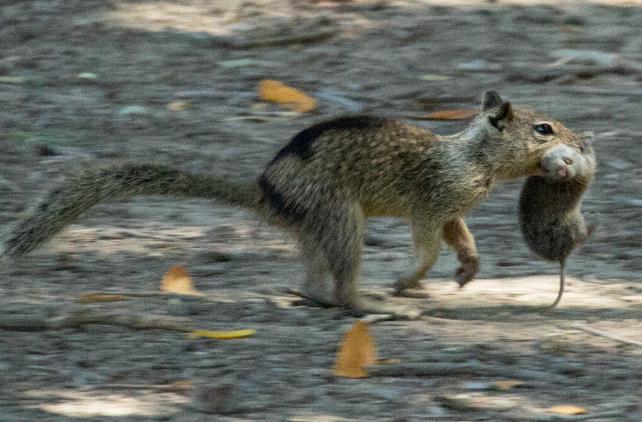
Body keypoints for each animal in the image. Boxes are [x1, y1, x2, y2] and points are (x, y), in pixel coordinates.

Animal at [2, 90, 584, 318]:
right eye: (543, 128)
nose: (580, 143)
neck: (473, 156)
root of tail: (264, 190)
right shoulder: (432, 201)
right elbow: (427, 246)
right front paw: (409, 279)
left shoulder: (452, 209)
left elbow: (460, 236)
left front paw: (469, 268)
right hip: (341, 217)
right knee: (344, 283)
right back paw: (369, 303)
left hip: (316, 226)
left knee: (313, 275)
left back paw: (312, 295)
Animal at [516, 139, 592, 310]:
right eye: (550, 169)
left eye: (567, 161)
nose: (564, 171)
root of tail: (561, 256)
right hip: (575, 225)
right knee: (582, 237)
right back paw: (594, 224)